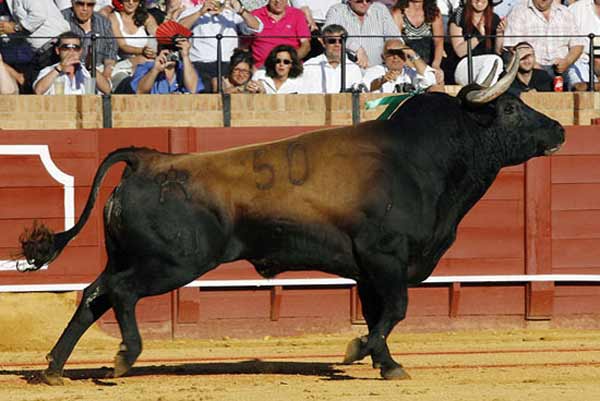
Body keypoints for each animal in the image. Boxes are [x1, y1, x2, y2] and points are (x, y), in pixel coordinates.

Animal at [17, 61, 564, 382]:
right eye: (511, 107)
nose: (559, 129)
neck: (421, 159)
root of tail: (147, 158)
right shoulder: (385, 257)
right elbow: (395, 311)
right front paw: (357, 352)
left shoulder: (368, 270)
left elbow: (379, 314)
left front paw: (385, 363)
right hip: (172, 264)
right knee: (122, 293)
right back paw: (124, 358)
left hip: (128, 256)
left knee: (94, 294)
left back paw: (54, 369)